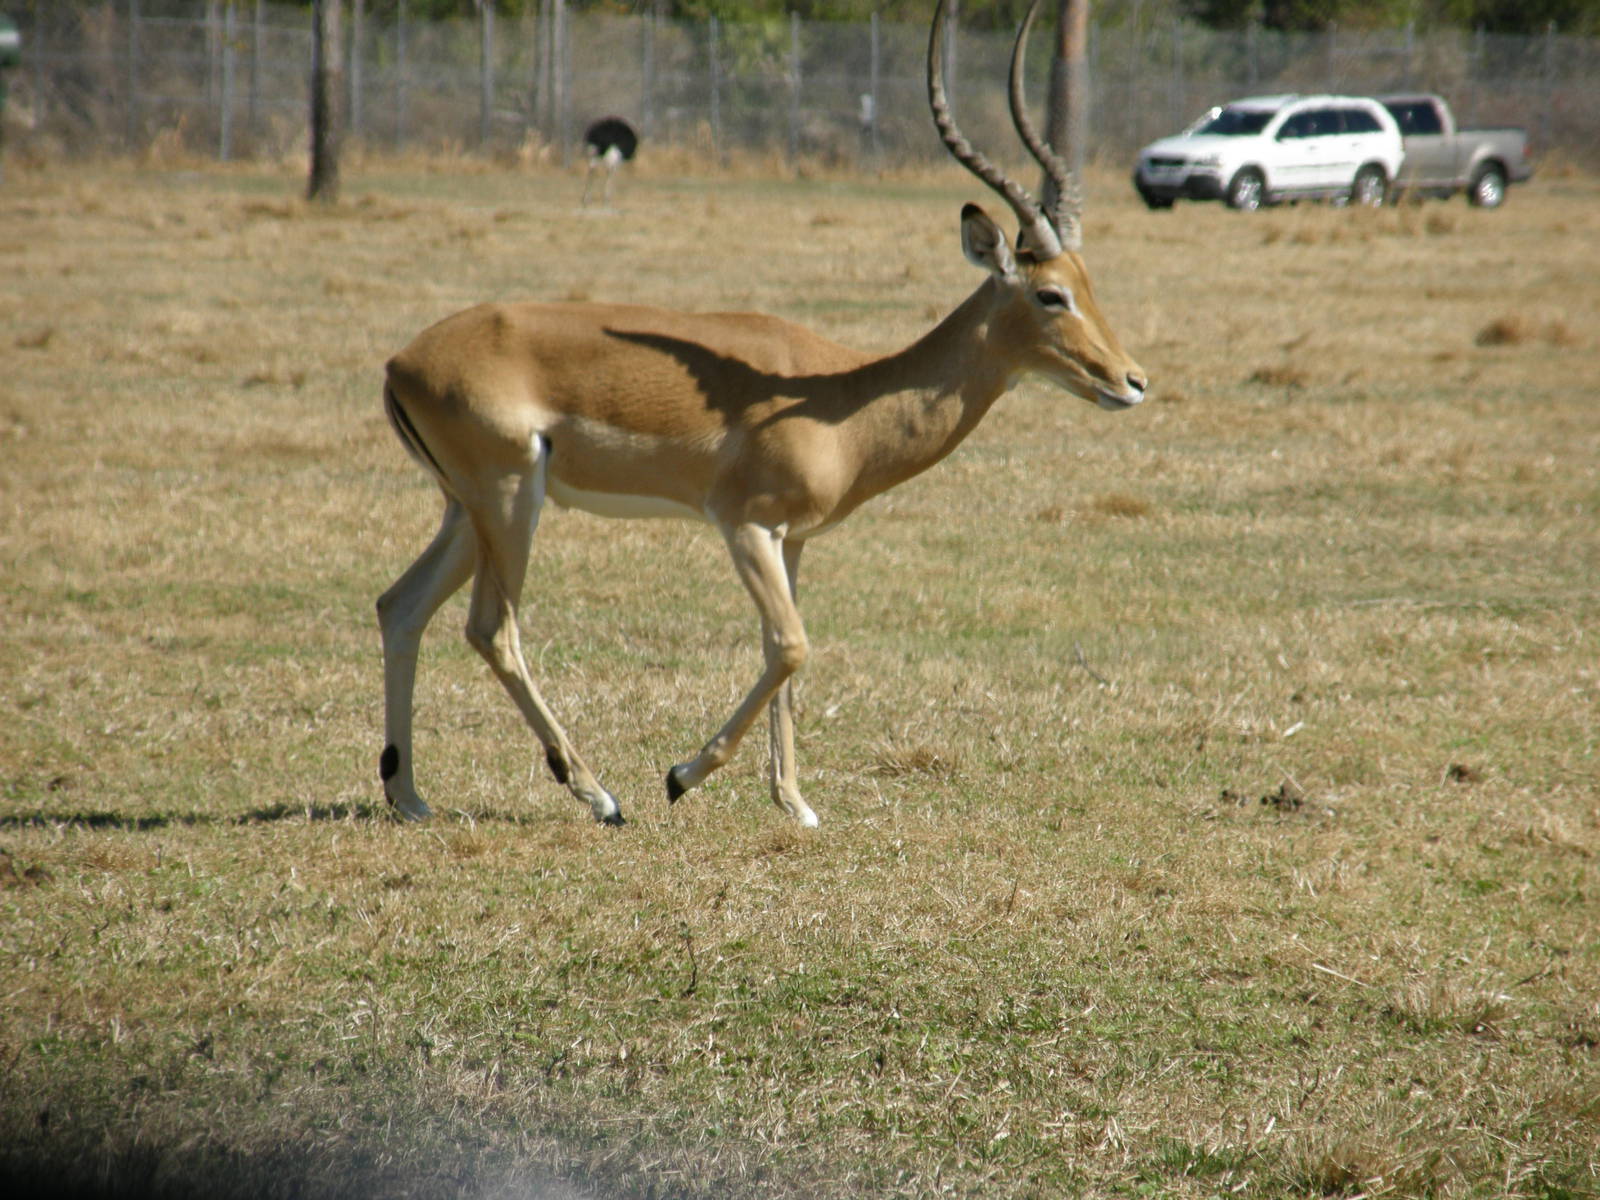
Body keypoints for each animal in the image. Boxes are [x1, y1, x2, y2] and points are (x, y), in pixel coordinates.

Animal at [376, 0, 1147, 828]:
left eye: (1087, 280)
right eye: (1050, 293)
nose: (1132, 381)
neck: (844, 399)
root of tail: (402, 361)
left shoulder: (793, 541)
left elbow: (787, 655)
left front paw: (796, 804)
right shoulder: (743, 525)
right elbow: (792, 646)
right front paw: (682, 775)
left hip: (468, 510)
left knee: (400, 606)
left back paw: (410, 796)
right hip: (511, 498)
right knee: (492, 628)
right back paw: (600, 795)